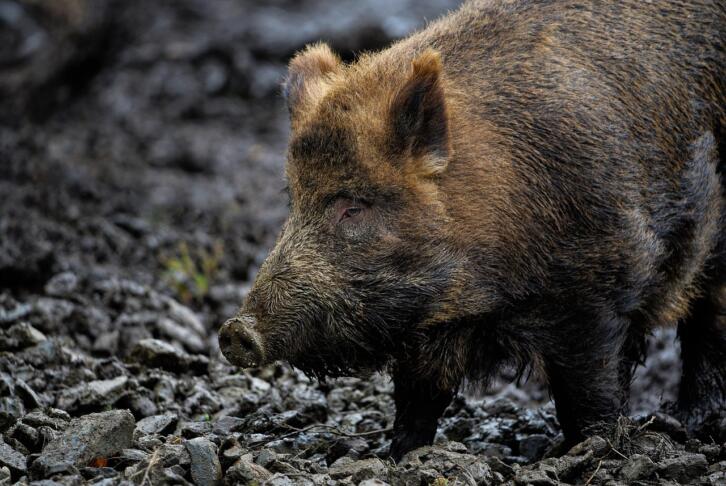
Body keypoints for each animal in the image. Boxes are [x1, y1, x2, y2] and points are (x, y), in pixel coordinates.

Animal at [219, 0, 726, 460]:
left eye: (353, 207)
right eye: (294, 200)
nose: (235, 332)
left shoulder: (601, 282)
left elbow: (589, 392)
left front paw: (589, 450)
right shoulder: (426, 329)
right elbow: (416, 398)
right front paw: (398, 455)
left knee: (709, 323)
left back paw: (683, 423)